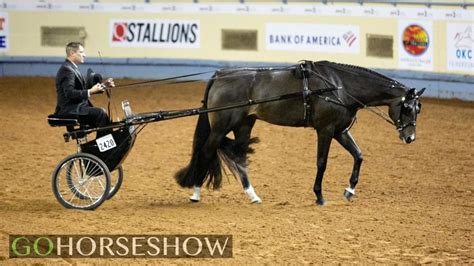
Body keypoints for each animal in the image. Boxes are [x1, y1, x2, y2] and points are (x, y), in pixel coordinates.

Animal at [175, 60, 426, 206]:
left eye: (418, 109)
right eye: (406, 107)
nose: (410, 137)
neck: (339, 86)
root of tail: (220, 75)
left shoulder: (340, 130)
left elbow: (359, 155)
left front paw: (349, 190)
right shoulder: (325, 130)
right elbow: (322, 162)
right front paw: (319, 196)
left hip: (244, 124)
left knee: (238, 157)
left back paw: (253, 196)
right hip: (221, 126)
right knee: (206, 151)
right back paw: (196, 193)